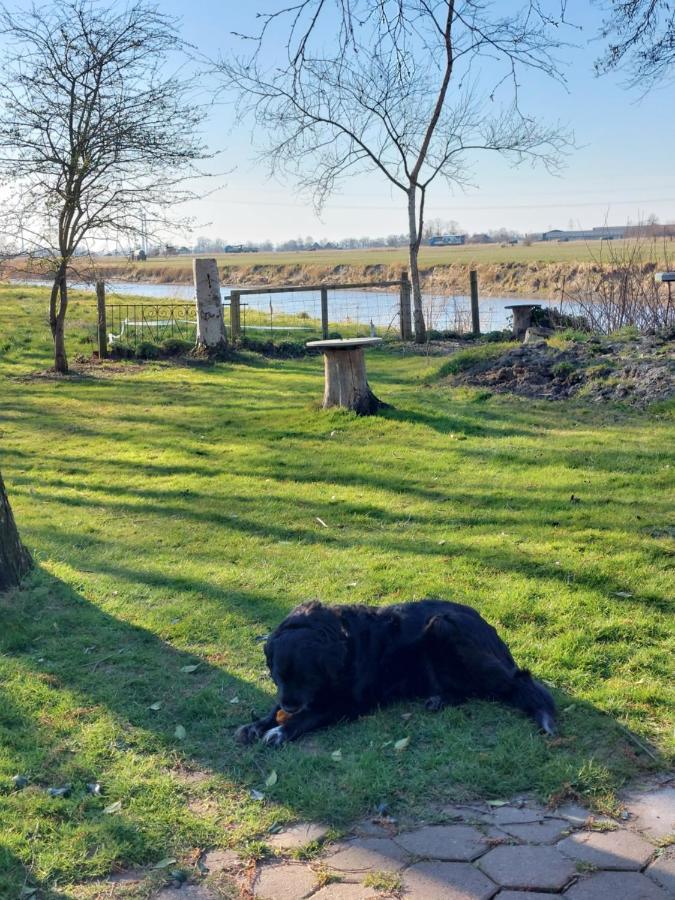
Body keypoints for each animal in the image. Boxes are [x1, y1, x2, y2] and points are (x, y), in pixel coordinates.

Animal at [235, 596, 556, 744]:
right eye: (277, 676)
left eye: (308, 677)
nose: (290, 705)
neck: (341, 639)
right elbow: (273, 707)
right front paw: (258, 724)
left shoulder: (349, 703)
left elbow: (309, 716)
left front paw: (281, 730)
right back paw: (439, 699)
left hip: (443, 626)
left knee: (516, 683)